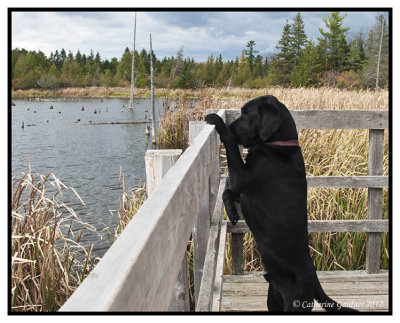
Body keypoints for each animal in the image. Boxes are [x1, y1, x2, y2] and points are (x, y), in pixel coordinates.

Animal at [206, 95, 356, 312]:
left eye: (245, 114)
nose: (232, 126)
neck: (278, 146)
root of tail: (314, 279)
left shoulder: (241, 178)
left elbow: (231, 145)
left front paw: (218, 122)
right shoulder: (243, 191)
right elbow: (227, 192)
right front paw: (232, 214)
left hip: (296, 303)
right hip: (273, 299)